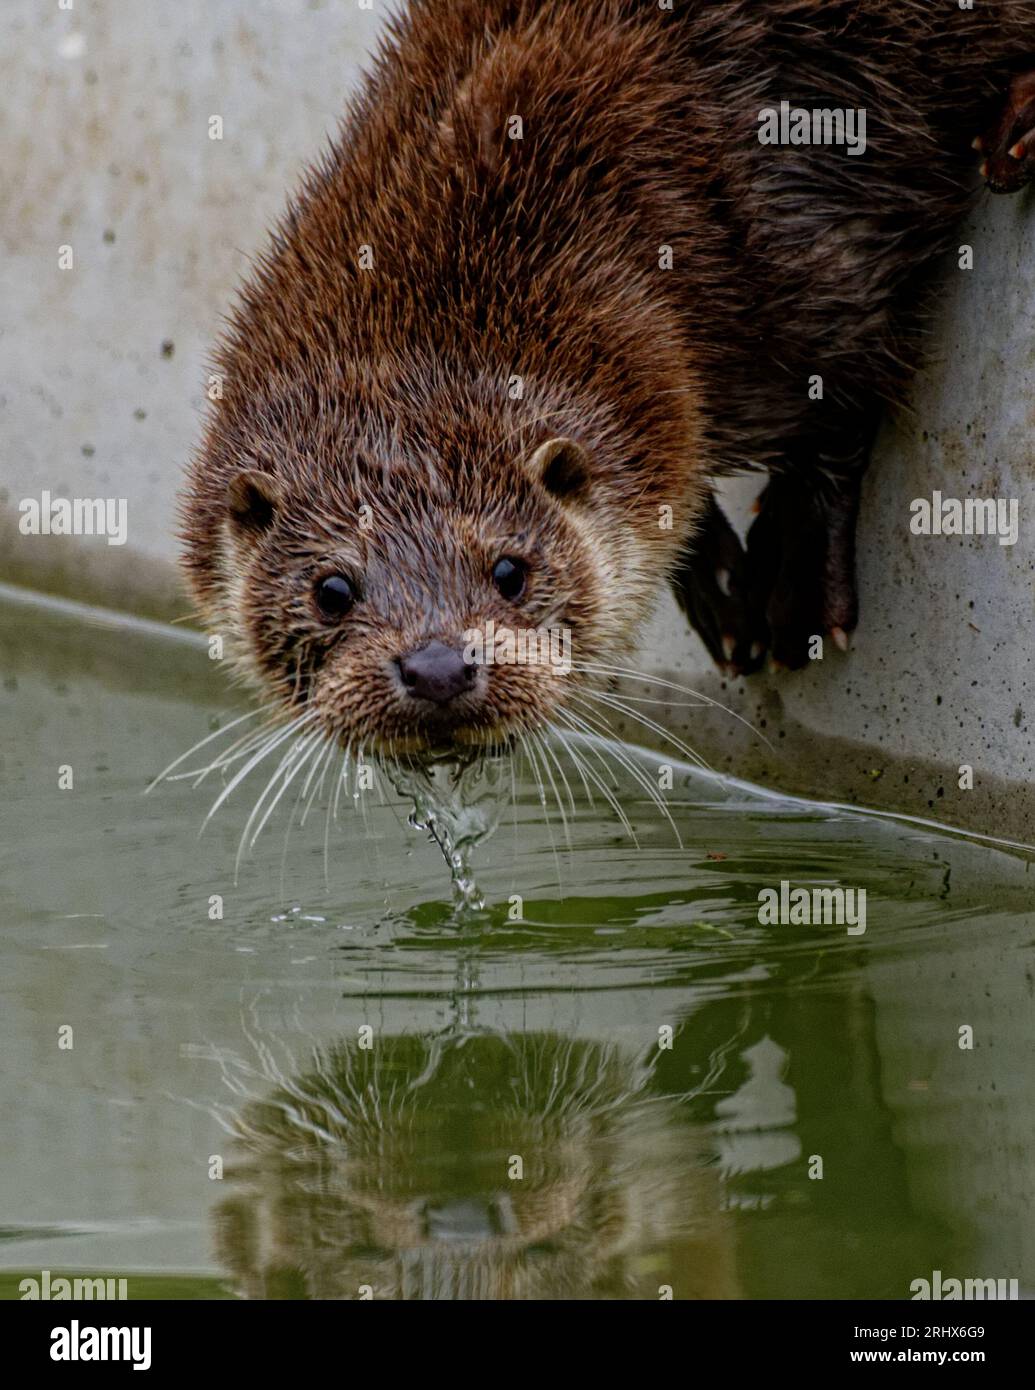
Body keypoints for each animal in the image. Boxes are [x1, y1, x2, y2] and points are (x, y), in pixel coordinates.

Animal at [181, 0, 1033, 767]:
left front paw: (794, 580)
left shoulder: (797, 235)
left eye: (510, 572)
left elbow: (842, 392)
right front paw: (717, 584)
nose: (437, 666)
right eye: (331, 591)